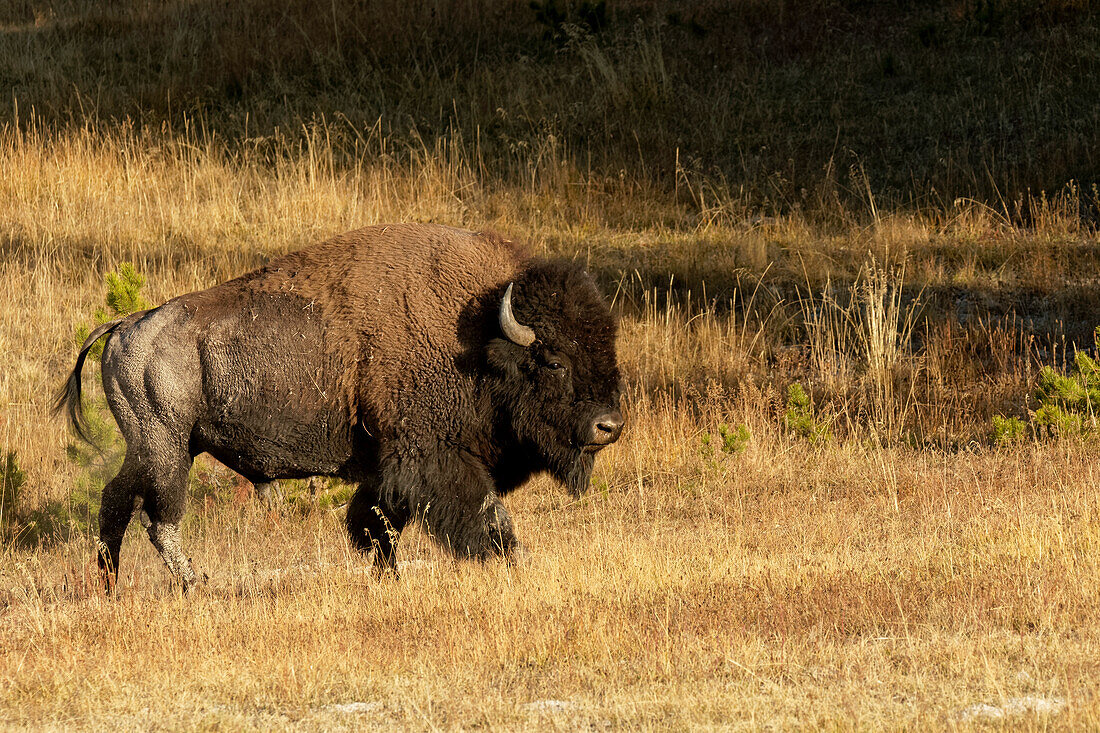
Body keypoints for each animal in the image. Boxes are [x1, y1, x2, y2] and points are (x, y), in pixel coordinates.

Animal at [55, 222, 624, 589]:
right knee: (159, 519)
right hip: (166, 448)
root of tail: (127, 324)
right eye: (553, 359)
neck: (478, 334)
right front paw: (512, 566)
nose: (609, 425)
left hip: (154, 447)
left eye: (607, 347)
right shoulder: (434, 458)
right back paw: (196, 585)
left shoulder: (388, 469)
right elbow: (485, 519)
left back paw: (109, 586)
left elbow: (376, 522)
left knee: (115, 501)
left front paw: (387, 578)